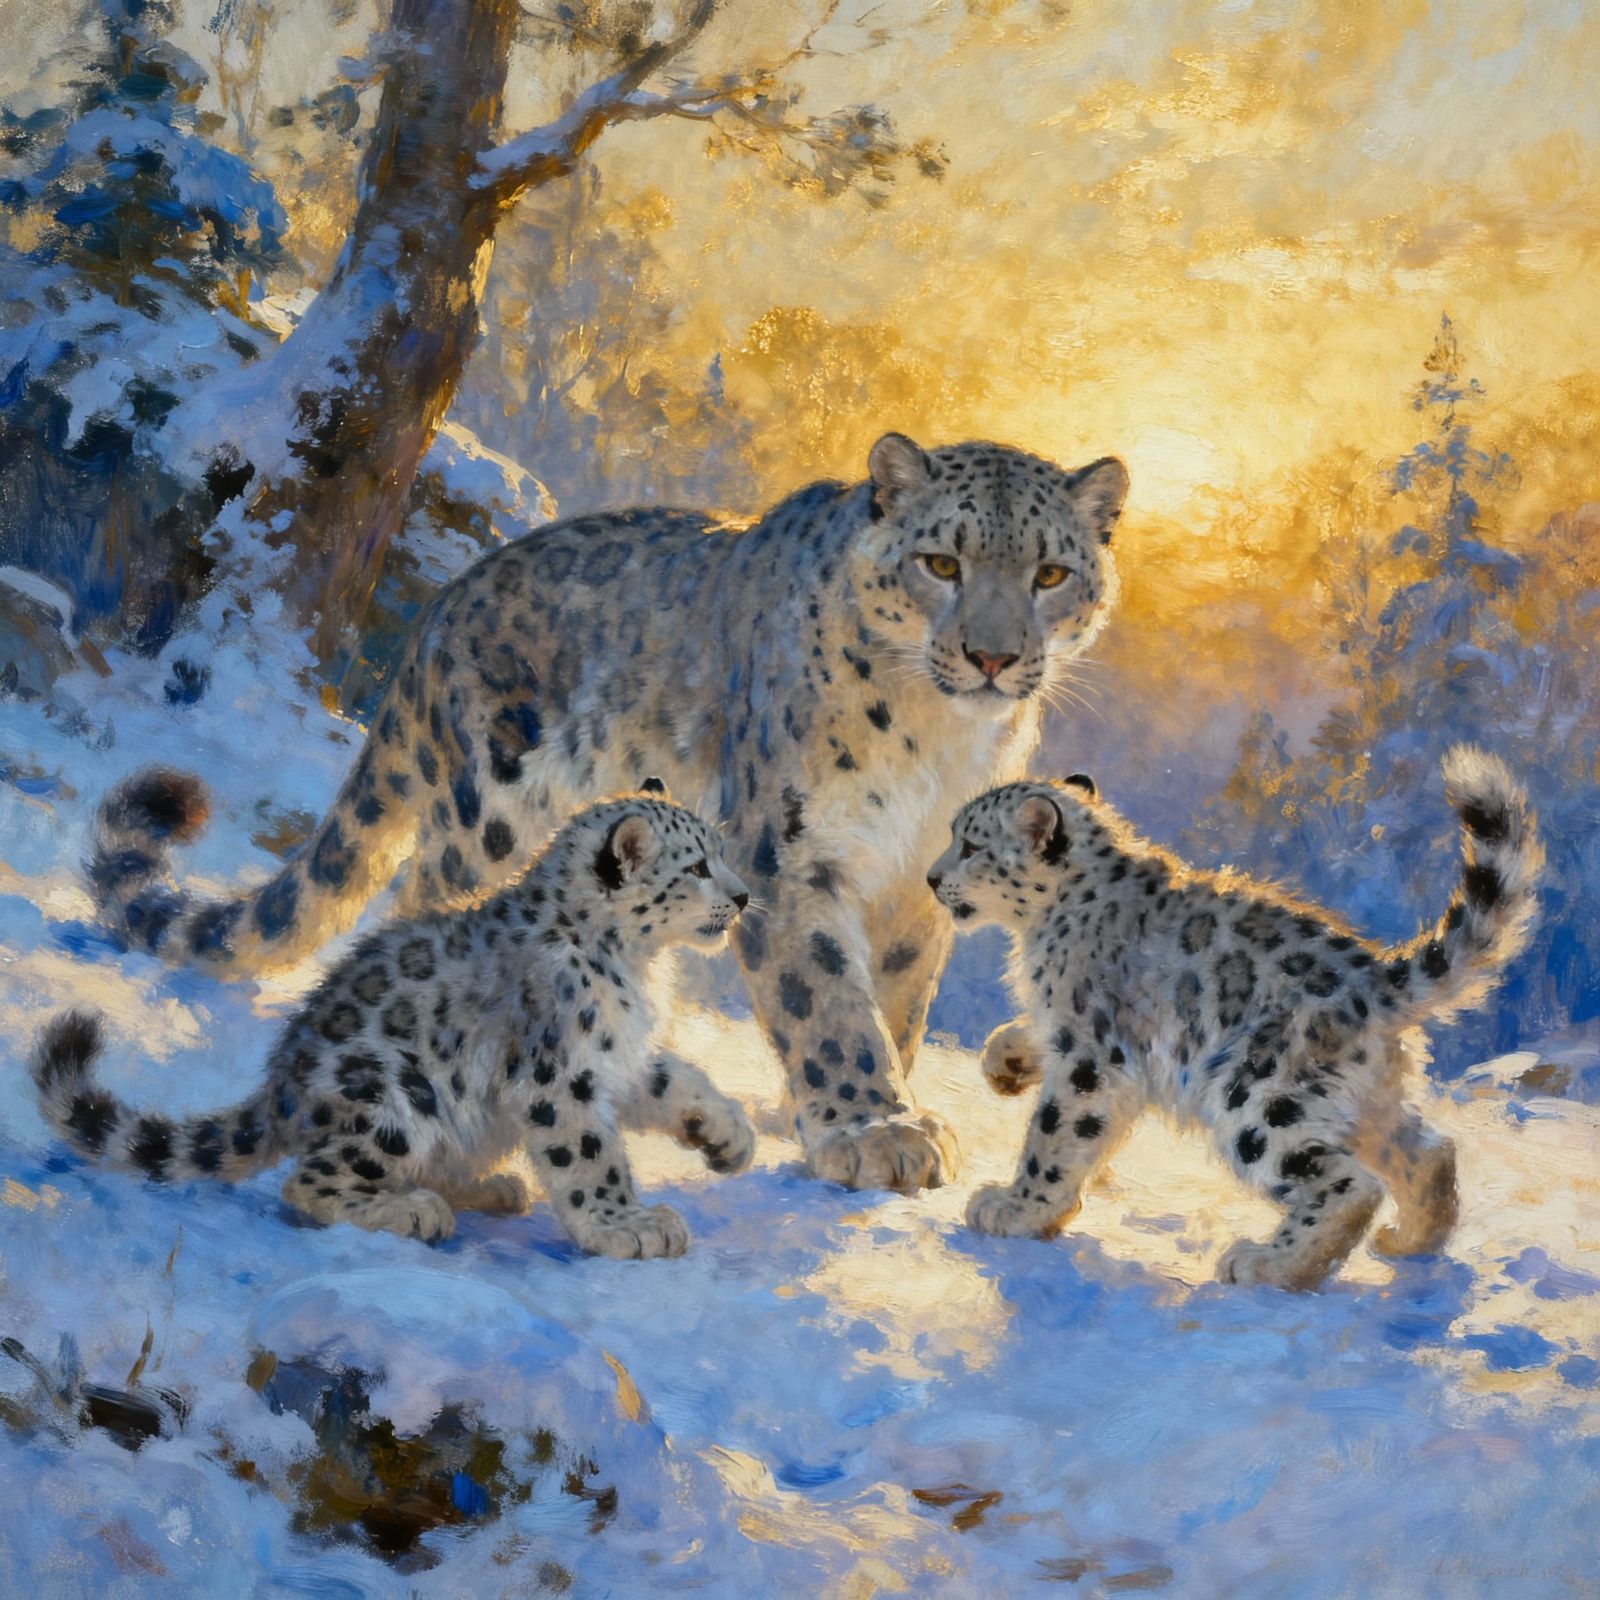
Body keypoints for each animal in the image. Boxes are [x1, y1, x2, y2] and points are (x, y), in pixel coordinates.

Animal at [36, 779, 756, 1257]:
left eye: (722, 854)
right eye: (697, 867)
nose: (746, 894)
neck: (637, 968)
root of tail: (279, 1094)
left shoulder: (615, 1054)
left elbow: (676, 1080)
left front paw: (729, 1136)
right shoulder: (556, 1071)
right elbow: (588, 1153)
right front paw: (627, 1225)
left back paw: (491, 1188)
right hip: (395, 1095)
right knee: (309, 1181)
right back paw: (414, 1210)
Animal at [86, 433, 1128, 1194]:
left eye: (1049, 576)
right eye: (941, 562)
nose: (993, 657)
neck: (937, 740)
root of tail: (436, 614)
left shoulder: (916, 878)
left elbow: (901, 995)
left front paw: (881, 1104)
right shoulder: (789, 851)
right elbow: (826, 996)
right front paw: (874, 1129)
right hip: (492, 820)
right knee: (428, 904)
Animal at [925, 746, 1541, 1289]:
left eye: (971, 844)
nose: (930, 878)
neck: (1040, 926)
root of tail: (1373, 979)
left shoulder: (1090, 1059)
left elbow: (1055, 1136)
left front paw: (1017, 1208)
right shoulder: (1067, 1030)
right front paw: (1003, 1062)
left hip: (1257, 1095)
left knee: (1348, 1181)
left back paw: (1269, 1267)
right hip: (1361, 1098)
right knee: (1428, 1151)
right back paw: (1408, 1242)